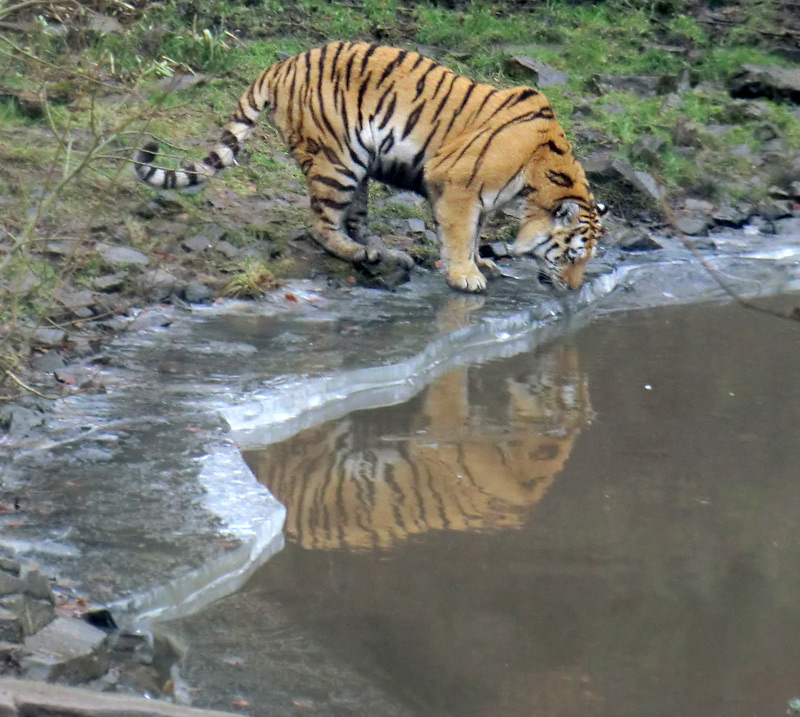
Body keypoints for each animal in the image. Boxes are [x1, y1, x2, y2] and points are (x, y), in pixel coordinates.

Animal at [134, 42, 604, 292]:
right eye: (571, 255)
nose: (575, 290)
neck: (538, 179)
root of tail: (284, 62)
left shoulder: (480, 199)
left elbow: (474, 233)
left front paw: (479, 263)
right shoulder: (457, 184)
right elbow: (459, 234)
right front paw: (465, 276)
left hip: (356, 167)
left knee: (352, 219)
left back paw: (381, 252)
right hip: (337, 161)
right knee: (319, 224)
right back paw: (358, 252)